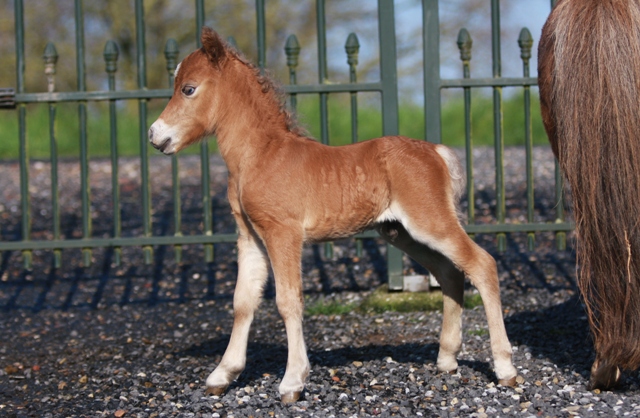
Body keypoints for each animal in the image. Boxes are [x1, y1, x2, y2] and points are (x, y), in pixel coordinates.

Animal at [148, 27, 517, 402]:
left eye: (188, 88)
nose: (154, 135)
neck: (261, 154)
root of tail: (436, 151)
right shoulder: (249, 235)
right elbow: (243, 301)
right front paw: (223, 374)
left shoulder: (283, 233)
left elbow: (288, 300)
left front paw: (292, 381)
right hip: (400, 232)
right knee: (449, 272)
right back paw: (446, 359)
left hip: (429, 222)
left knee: (482, 264)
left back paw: (505, 368)